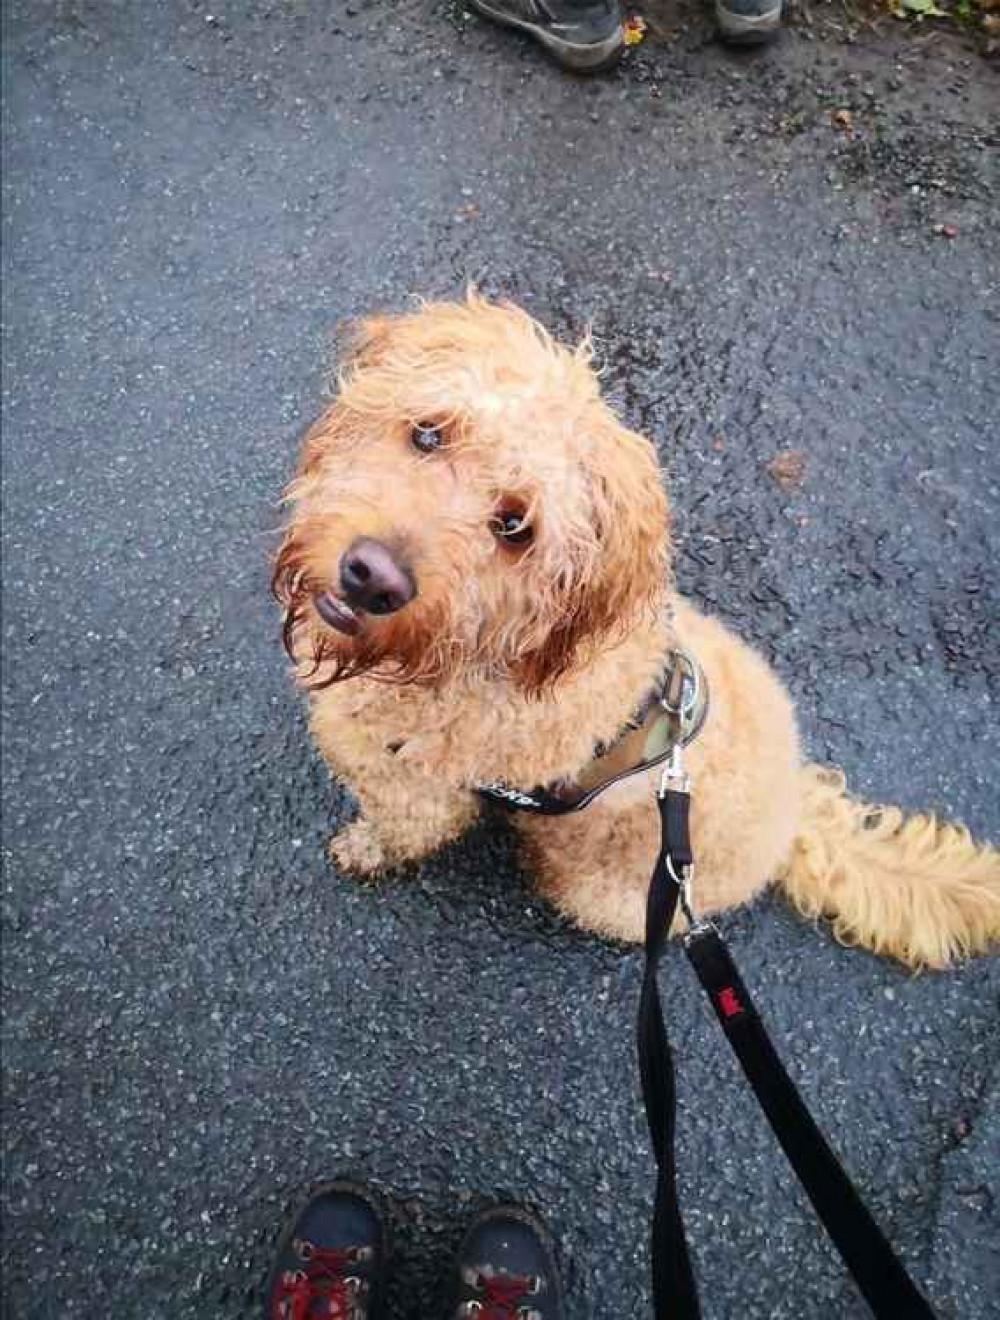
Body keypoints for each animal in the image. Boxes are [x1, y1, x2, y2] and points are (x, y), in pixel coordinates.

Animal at [274, 294, 1000, 971]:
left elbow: (402, 831)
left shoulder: (420, 793)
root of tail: (796, 808)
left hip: (613, 896)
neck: (486, 653)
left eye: (515, 527)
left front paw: (362, 850)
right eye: (428, 433)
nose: (373, 578)